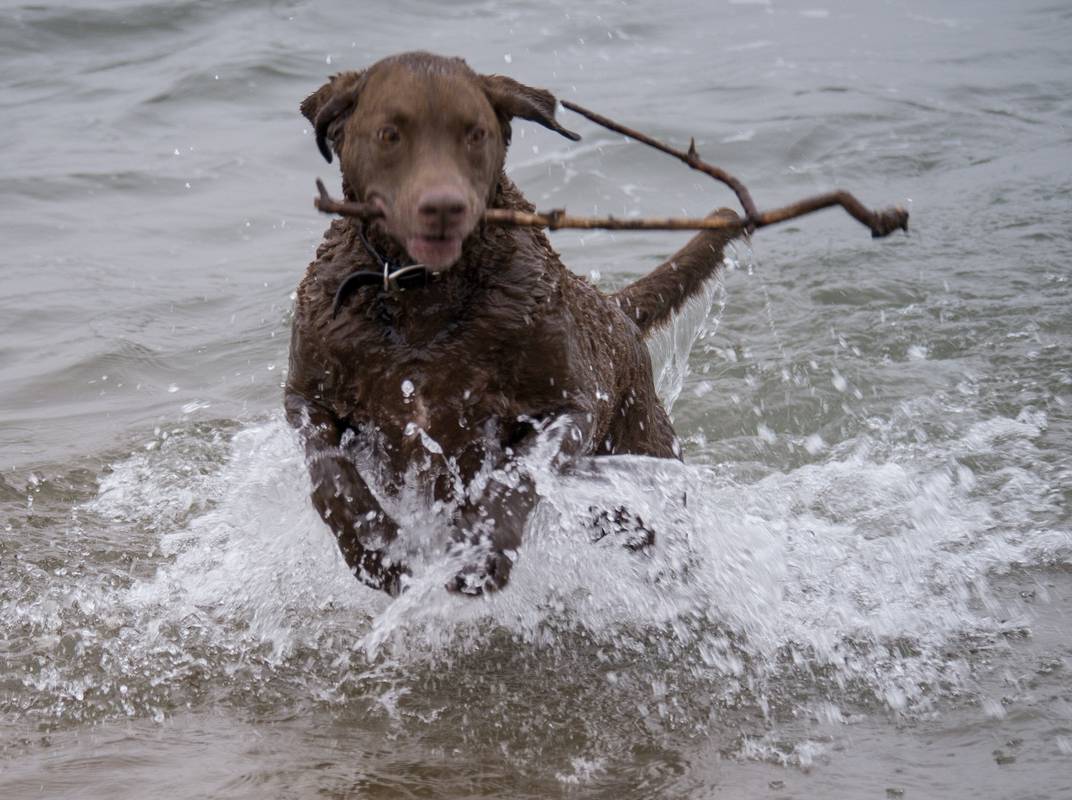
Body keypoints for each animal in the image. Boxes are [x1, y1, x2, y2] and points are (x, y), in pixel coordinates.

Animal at [283, 51, 737, 591]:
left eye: (475, 133)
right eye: (390, 134)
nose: (444, 207)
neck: (423, 297)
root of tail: (614, 309)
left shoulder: (567, 406)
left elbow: (517, 473)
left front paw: (482, 545)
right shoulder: (307, 395)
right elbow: (329, 471)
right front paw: (376, 547)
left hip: (641, 462)